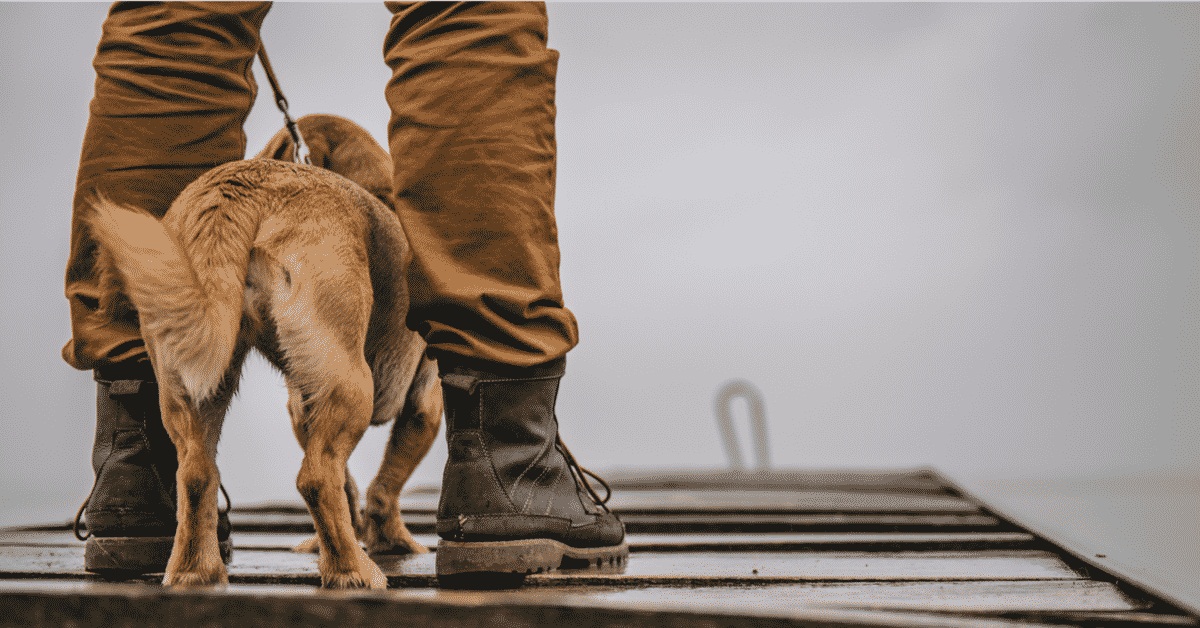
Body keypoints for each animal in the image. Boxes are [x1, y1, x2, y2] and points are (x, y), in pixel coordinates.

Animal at [88, 114, 444, 590]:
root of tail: (244, 191)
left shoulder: (302, 403)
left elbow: (352, 487)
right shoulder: (424, 405)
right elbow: (383, 487)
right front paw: (395, 542)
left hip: (193, 384)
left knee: (196, 475)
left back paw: (194, 571)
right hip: (353, 385)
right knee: (316, 478)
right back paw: (352, 571)